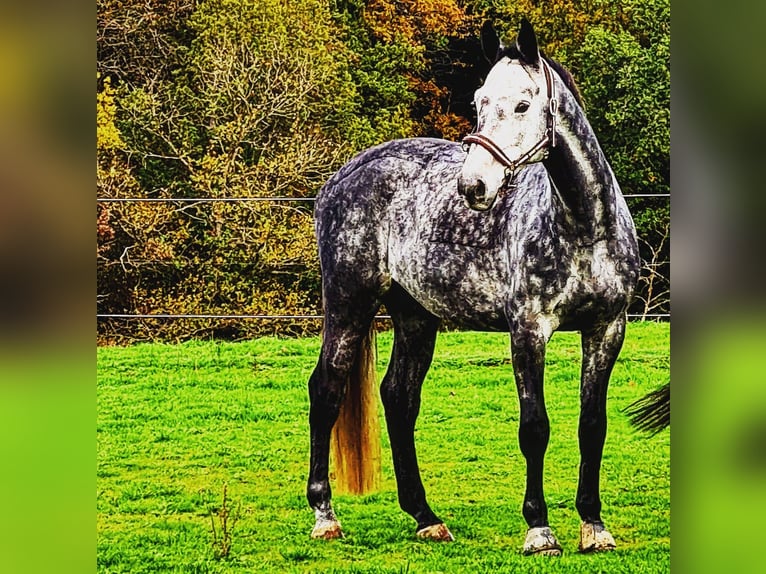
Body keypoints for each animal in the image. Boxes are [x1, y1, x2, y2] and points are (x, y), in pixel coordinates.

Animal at [306, 19, 640, 560]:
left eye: (523, 104)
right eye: (480, 101)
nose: (474, 187)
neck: (582, 227)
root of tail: (342, 177)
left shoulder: (606, 329)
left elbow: (593, 426)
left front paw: (593, 525)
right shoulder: (528, 331)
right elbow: (535, 428)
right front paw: (539, 530)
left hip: (415, 316)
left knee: (398, 398)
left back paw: (426, 517)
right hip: (348, 303)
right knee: (326, 391)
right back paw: (325, 515)